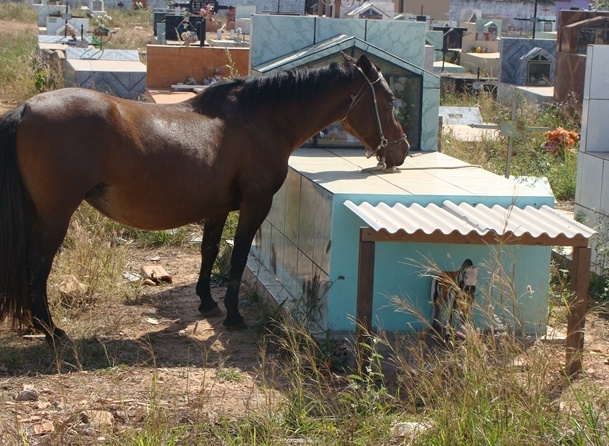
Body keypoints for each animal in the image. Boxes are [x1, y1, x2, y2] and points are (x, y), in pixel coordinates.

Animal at [1, 54, 408, 344]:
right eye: (389, 100)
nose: (401, 150)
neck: (260, 120)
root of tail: (26, 109)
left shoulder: (217, 209)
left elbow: (209, 250)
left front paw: (207, 302)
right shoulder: (255, 204)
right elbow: (239, 256)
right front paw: (233, 315)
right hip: (55, 215)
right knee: (37, 265)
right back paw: (51, 329)